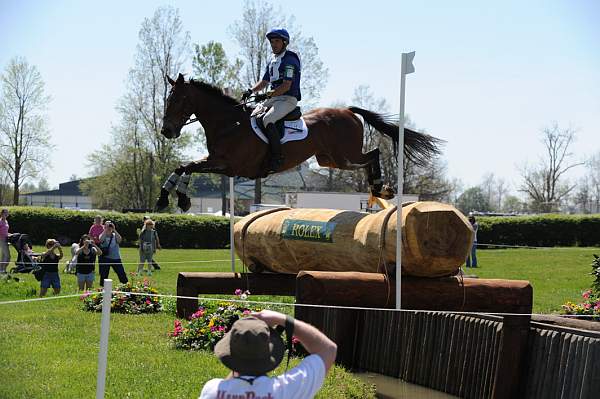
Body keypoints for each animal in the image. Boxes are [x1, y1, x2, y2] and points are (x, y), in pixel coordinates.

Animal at [157, 74, 442, 212]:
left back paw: (381, 188)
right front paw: (165, 198)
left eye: (180, 100)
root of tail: (348, 111)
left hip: (344, 156)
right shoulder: (218, 163)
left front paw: (181, 198)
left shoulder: (230, 167)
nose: (166, 130)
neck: (229, 124)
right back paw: (380, 189)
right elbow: (182, 166)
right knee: (366, 157)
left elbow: (188, 167)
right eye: (167, 99)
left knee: (372, 154)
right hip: (329, 160)